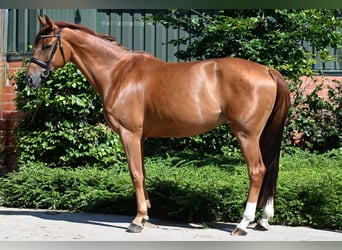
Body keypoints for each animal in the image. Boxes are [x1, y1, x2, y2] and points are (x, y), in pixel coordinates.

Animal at [25, 16, 290, 236]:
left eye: (47, 46)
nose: (30, 79)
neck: (118, 73)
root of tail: (267, 70)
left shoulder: (129, 134)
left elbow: (135, 174)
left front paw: (137, 220)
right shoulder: (141, 137)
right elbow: (143, 174)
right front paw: (146, 215)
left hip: (246, 134)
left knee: (257, 171)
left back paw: (243, 224)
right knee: (269, 169)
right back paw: (263, 220)